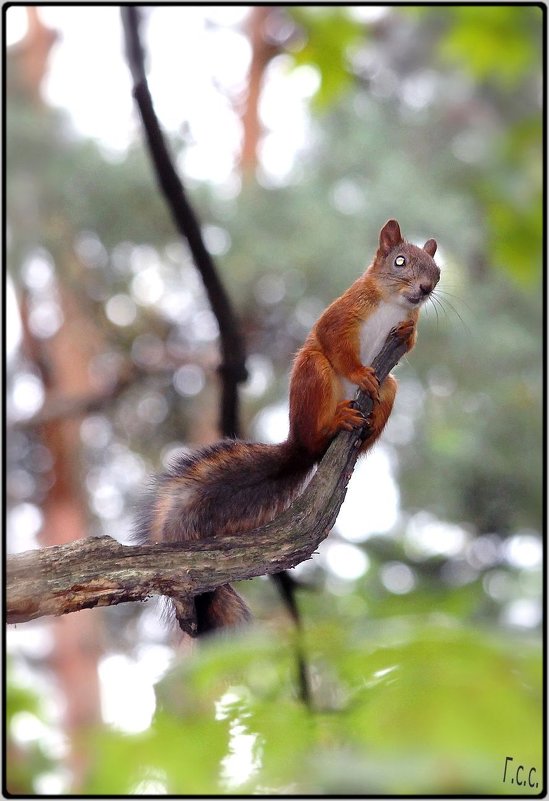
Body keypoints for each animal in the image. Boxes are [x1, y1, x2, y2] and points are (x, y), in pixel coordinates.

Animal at [135, 217, 438, 632]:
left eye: (436, 271)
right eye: (400, 261)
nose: (424, 288)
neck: (392, 306)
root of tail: (299, 444)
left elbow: (407, 341)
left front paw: (407, 336)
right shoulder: (341, 315)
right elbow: (336, 343)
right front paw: (360, 374)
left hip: (390, 387)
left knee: (381, 395)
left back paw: (363, 431)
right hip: (314, 371)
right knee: (321, 408)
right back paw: (338, 421)